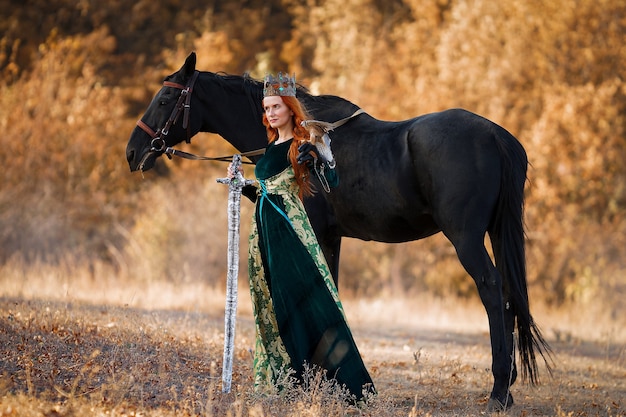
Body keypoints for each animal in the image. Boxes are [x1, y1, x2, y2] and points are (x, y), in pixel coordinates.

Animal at [125, 52, 544, 410]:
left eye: (166, 98)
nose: (132, 152)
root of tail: (495, 135)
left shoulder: (317, 232)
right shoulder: (332, 237)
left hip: (466, 238)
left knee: (492, 291)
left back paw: (498, 392)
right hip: (495, 234)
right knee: (509, 294)